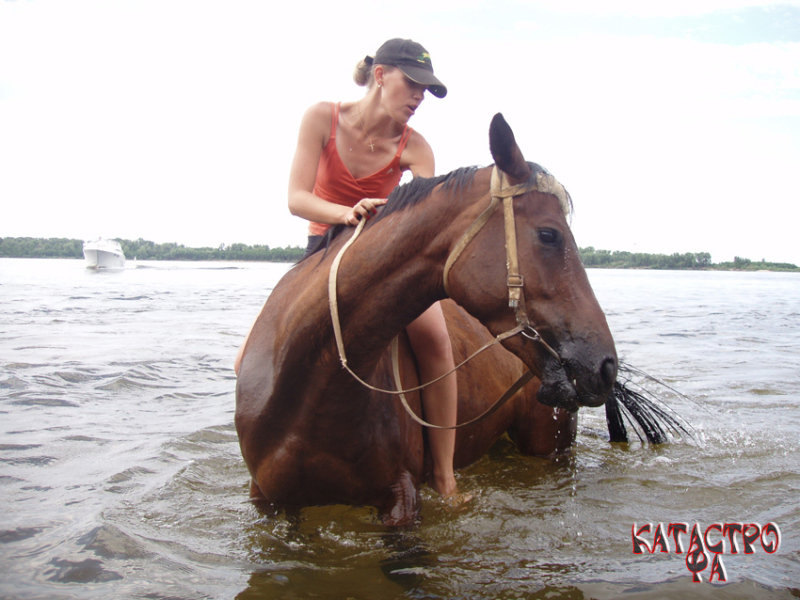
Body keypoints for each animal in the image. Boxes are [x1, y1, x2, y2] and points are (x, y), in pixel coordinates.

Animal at [236, 113, 620, 524]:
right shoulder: (270, 500)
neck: (314, 379)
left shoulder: (400, 500)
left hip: (549, 447)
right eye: (549, 234)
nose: (606, 365)